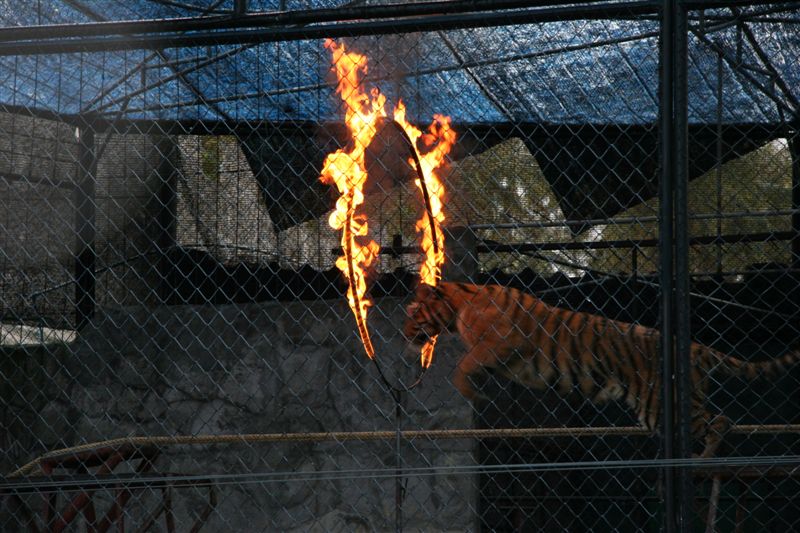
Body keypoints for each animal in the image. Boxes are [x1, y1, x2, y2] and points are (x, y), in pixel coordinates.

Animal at [404, 281, 799, 458]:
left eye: (412, 311)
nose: (404, 332)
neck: (459, 305)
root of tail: (691, 345)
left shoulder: (504, 341)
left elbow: (462, 364)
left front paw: (471, 391)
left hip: (660, 404)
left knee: (720, 422)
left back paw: (699, 461)